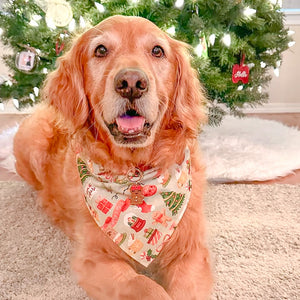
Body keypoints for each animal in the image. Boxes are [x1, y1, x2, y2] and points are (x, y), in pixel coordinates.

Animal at [12, 14, 212, 300]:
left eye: (157, 51)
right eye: (101, 50)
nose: (131, 83)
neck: (136, 172)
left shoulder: (191, 252)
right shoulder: (95, 260)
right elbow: (146, 286)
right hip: (32, 136)